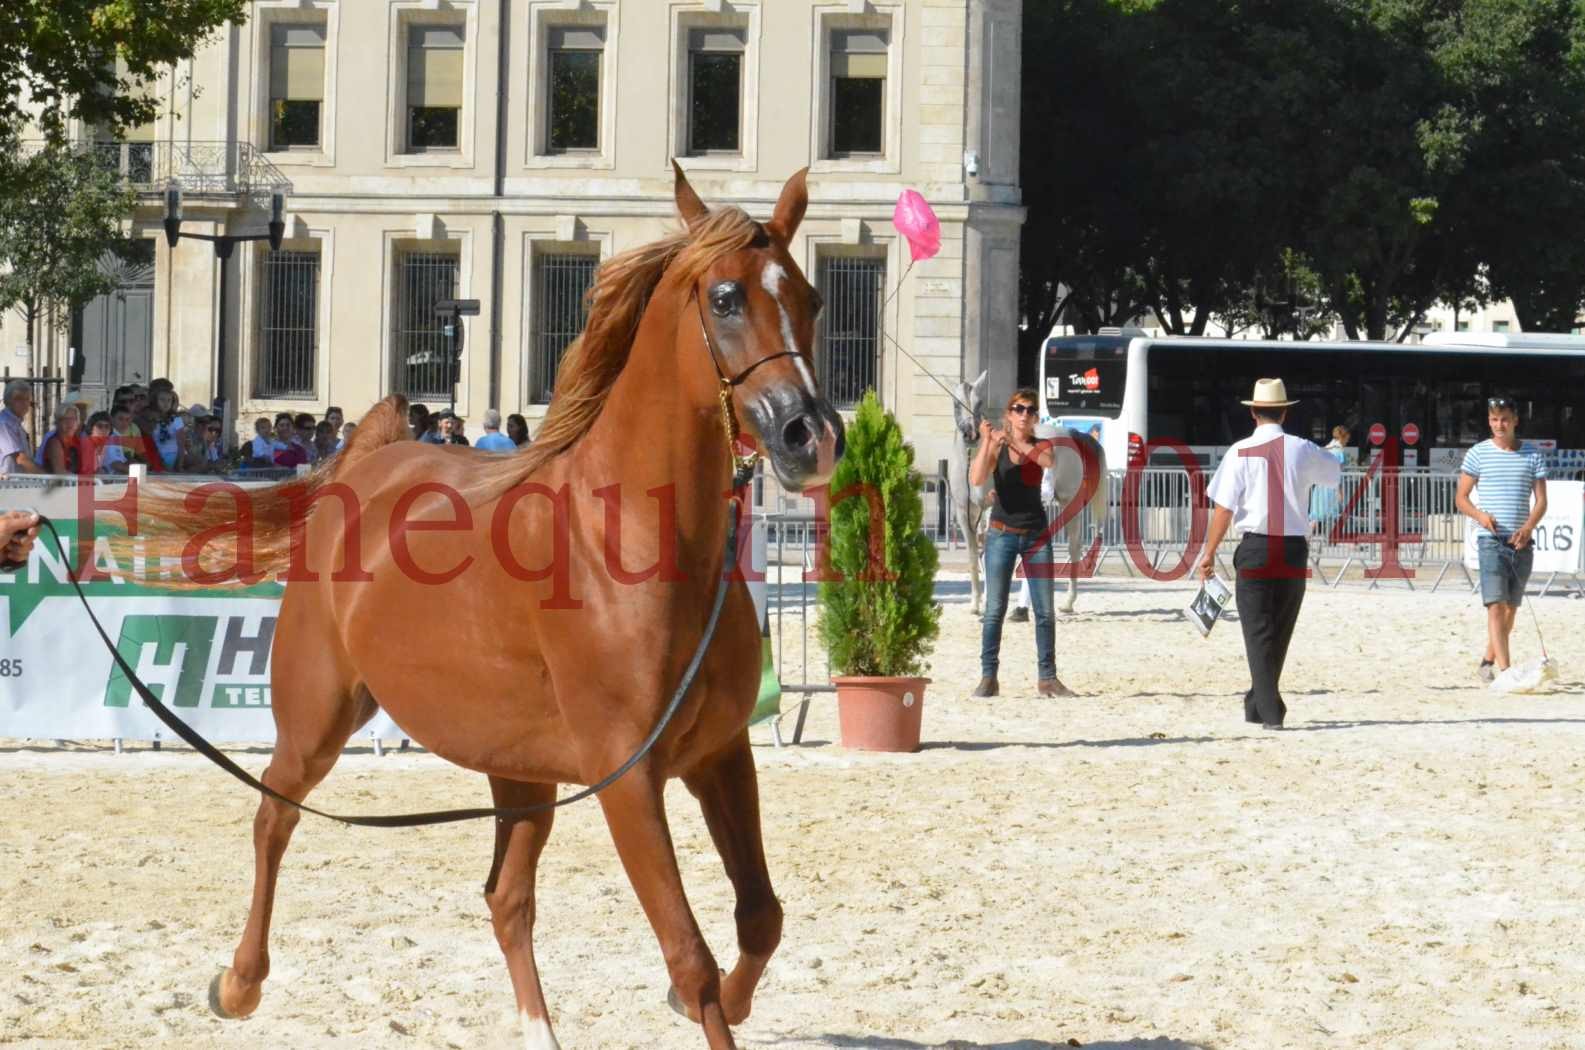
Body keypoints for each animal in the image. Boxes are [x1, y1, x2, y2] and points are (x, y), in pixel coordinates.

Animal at [145, 168, 843, 1046]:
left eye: (811, 298)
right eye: (724, 298)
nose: (809, 437)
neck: (636, 541)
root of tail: (369, 462)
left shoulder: (719, 755)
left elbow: (759, 919)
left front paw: (706, 999)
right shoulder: (628, 777)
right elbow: (690, 953)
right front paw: (692, 994)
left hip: (519, 771)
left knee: (506, 898)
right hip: (317, 718)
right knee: (274, 818)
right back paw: (238, 984)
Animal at [951, 372, 1115, 612]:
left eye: (979, 402)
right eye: (956, 403)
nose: (971, 435)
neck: (972, 463)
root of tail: (1073, 433)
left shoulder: (991, 510)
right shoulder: (965, 512)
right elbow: (974, 556)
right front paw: (975, 604)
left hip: (1068, 502)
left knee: (1074, 546)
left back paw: (1067, 602)